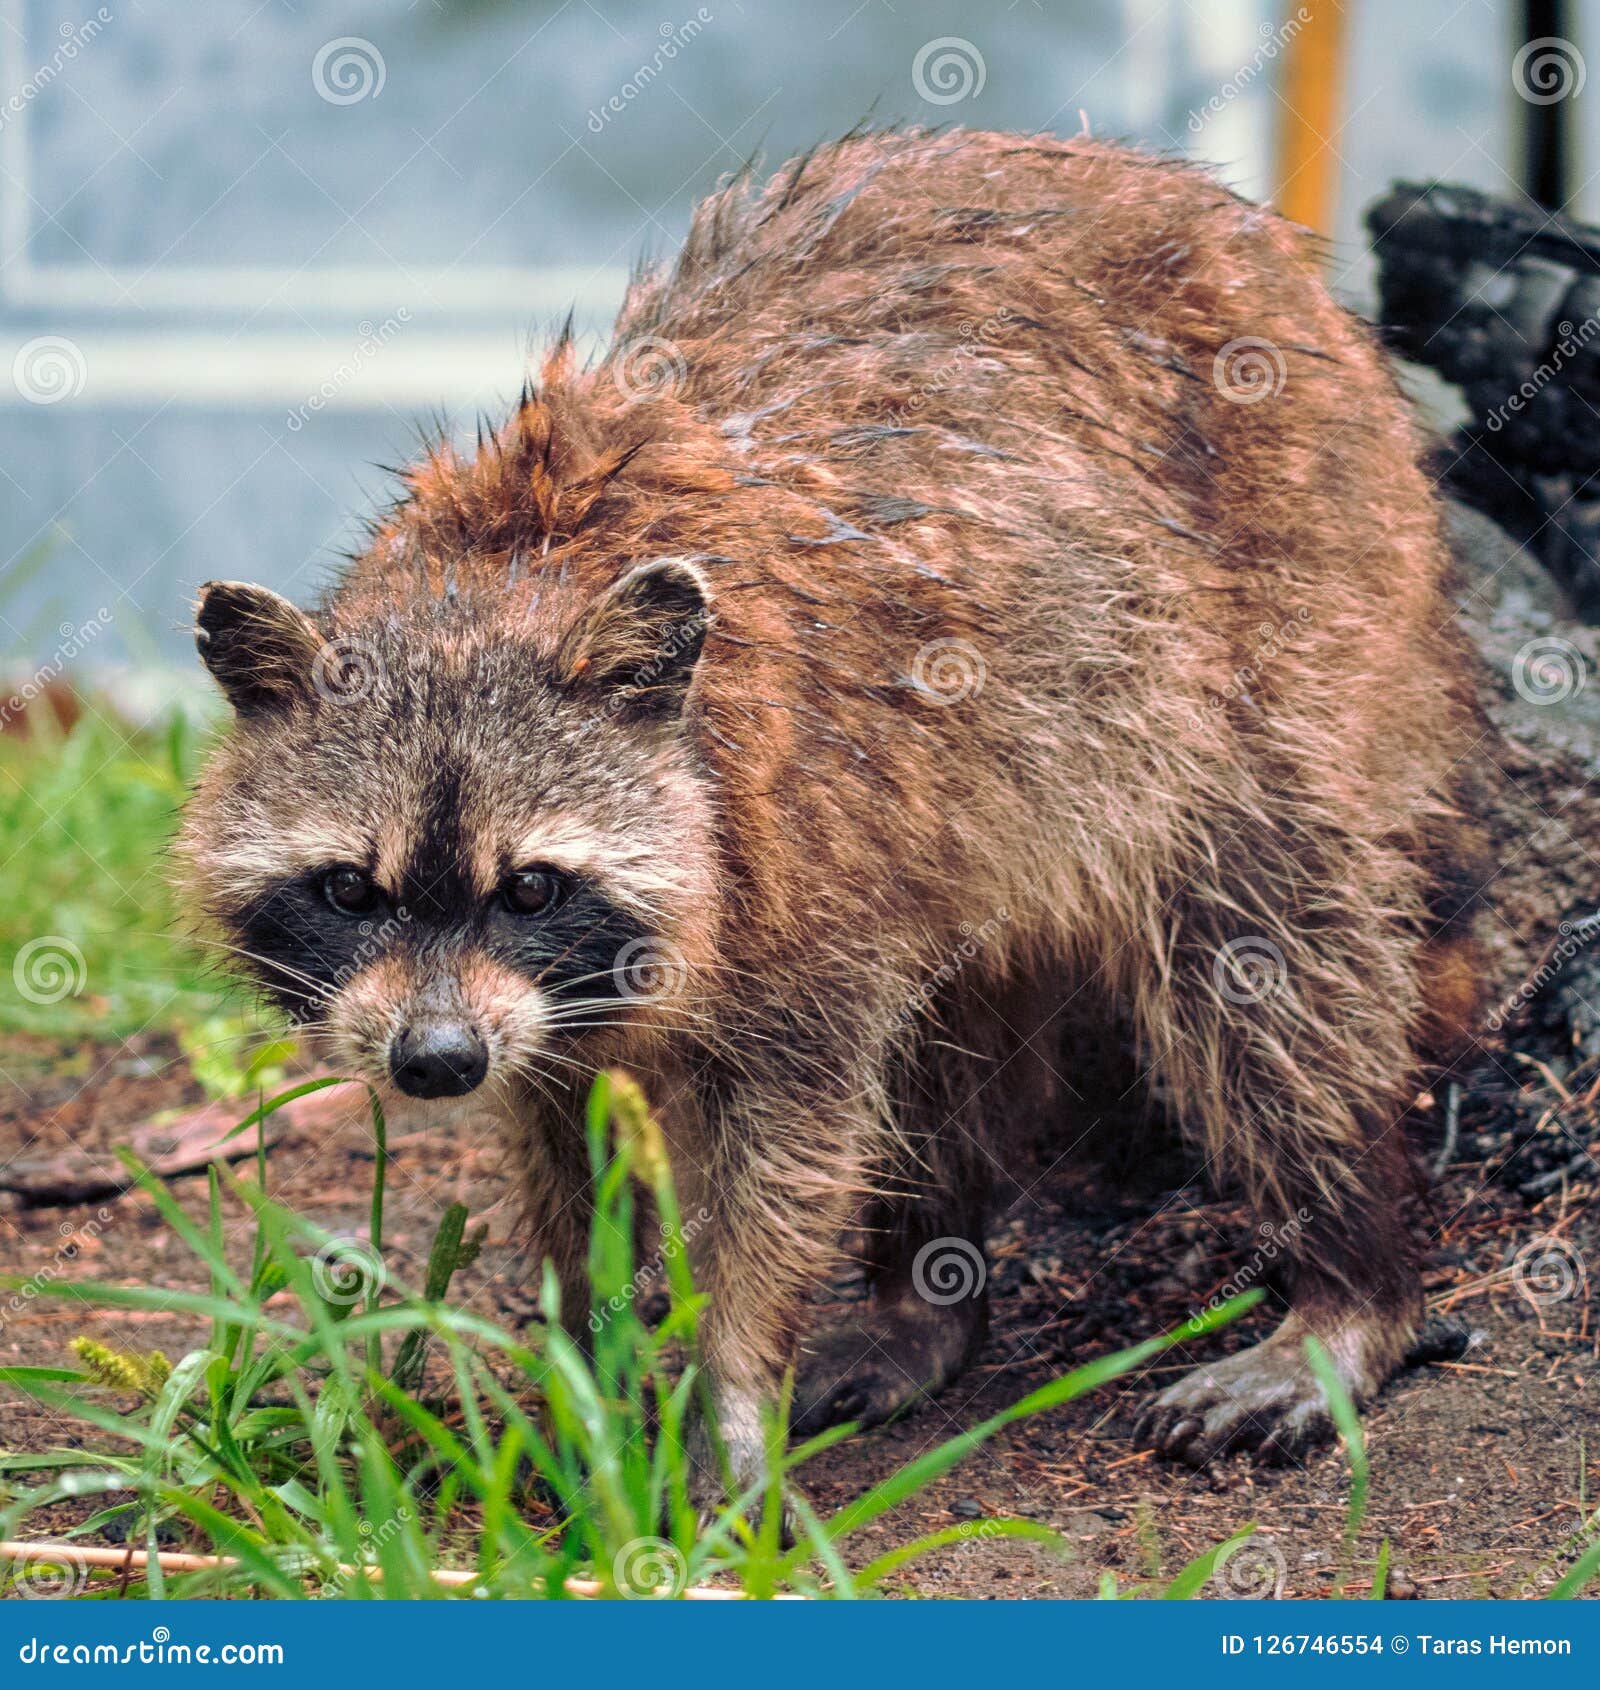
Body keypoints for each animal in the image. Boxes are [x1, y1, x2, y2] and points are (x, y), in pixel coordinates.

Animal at [178, 130, 1485, 1491]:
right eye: (349, 888)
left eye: (528, 885)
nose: (435, 1063)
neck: (497, 580)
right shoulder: (558, 1000)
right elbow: (563, 1135)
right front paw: (584, 1364)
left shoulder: (796, 849)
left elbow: (786, 1144)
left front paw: (732, 1391)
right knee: (947, 1039)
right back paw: (927, 1289)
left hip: (1290, 620)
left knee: (1266, 958)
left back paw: (1347, 1268)